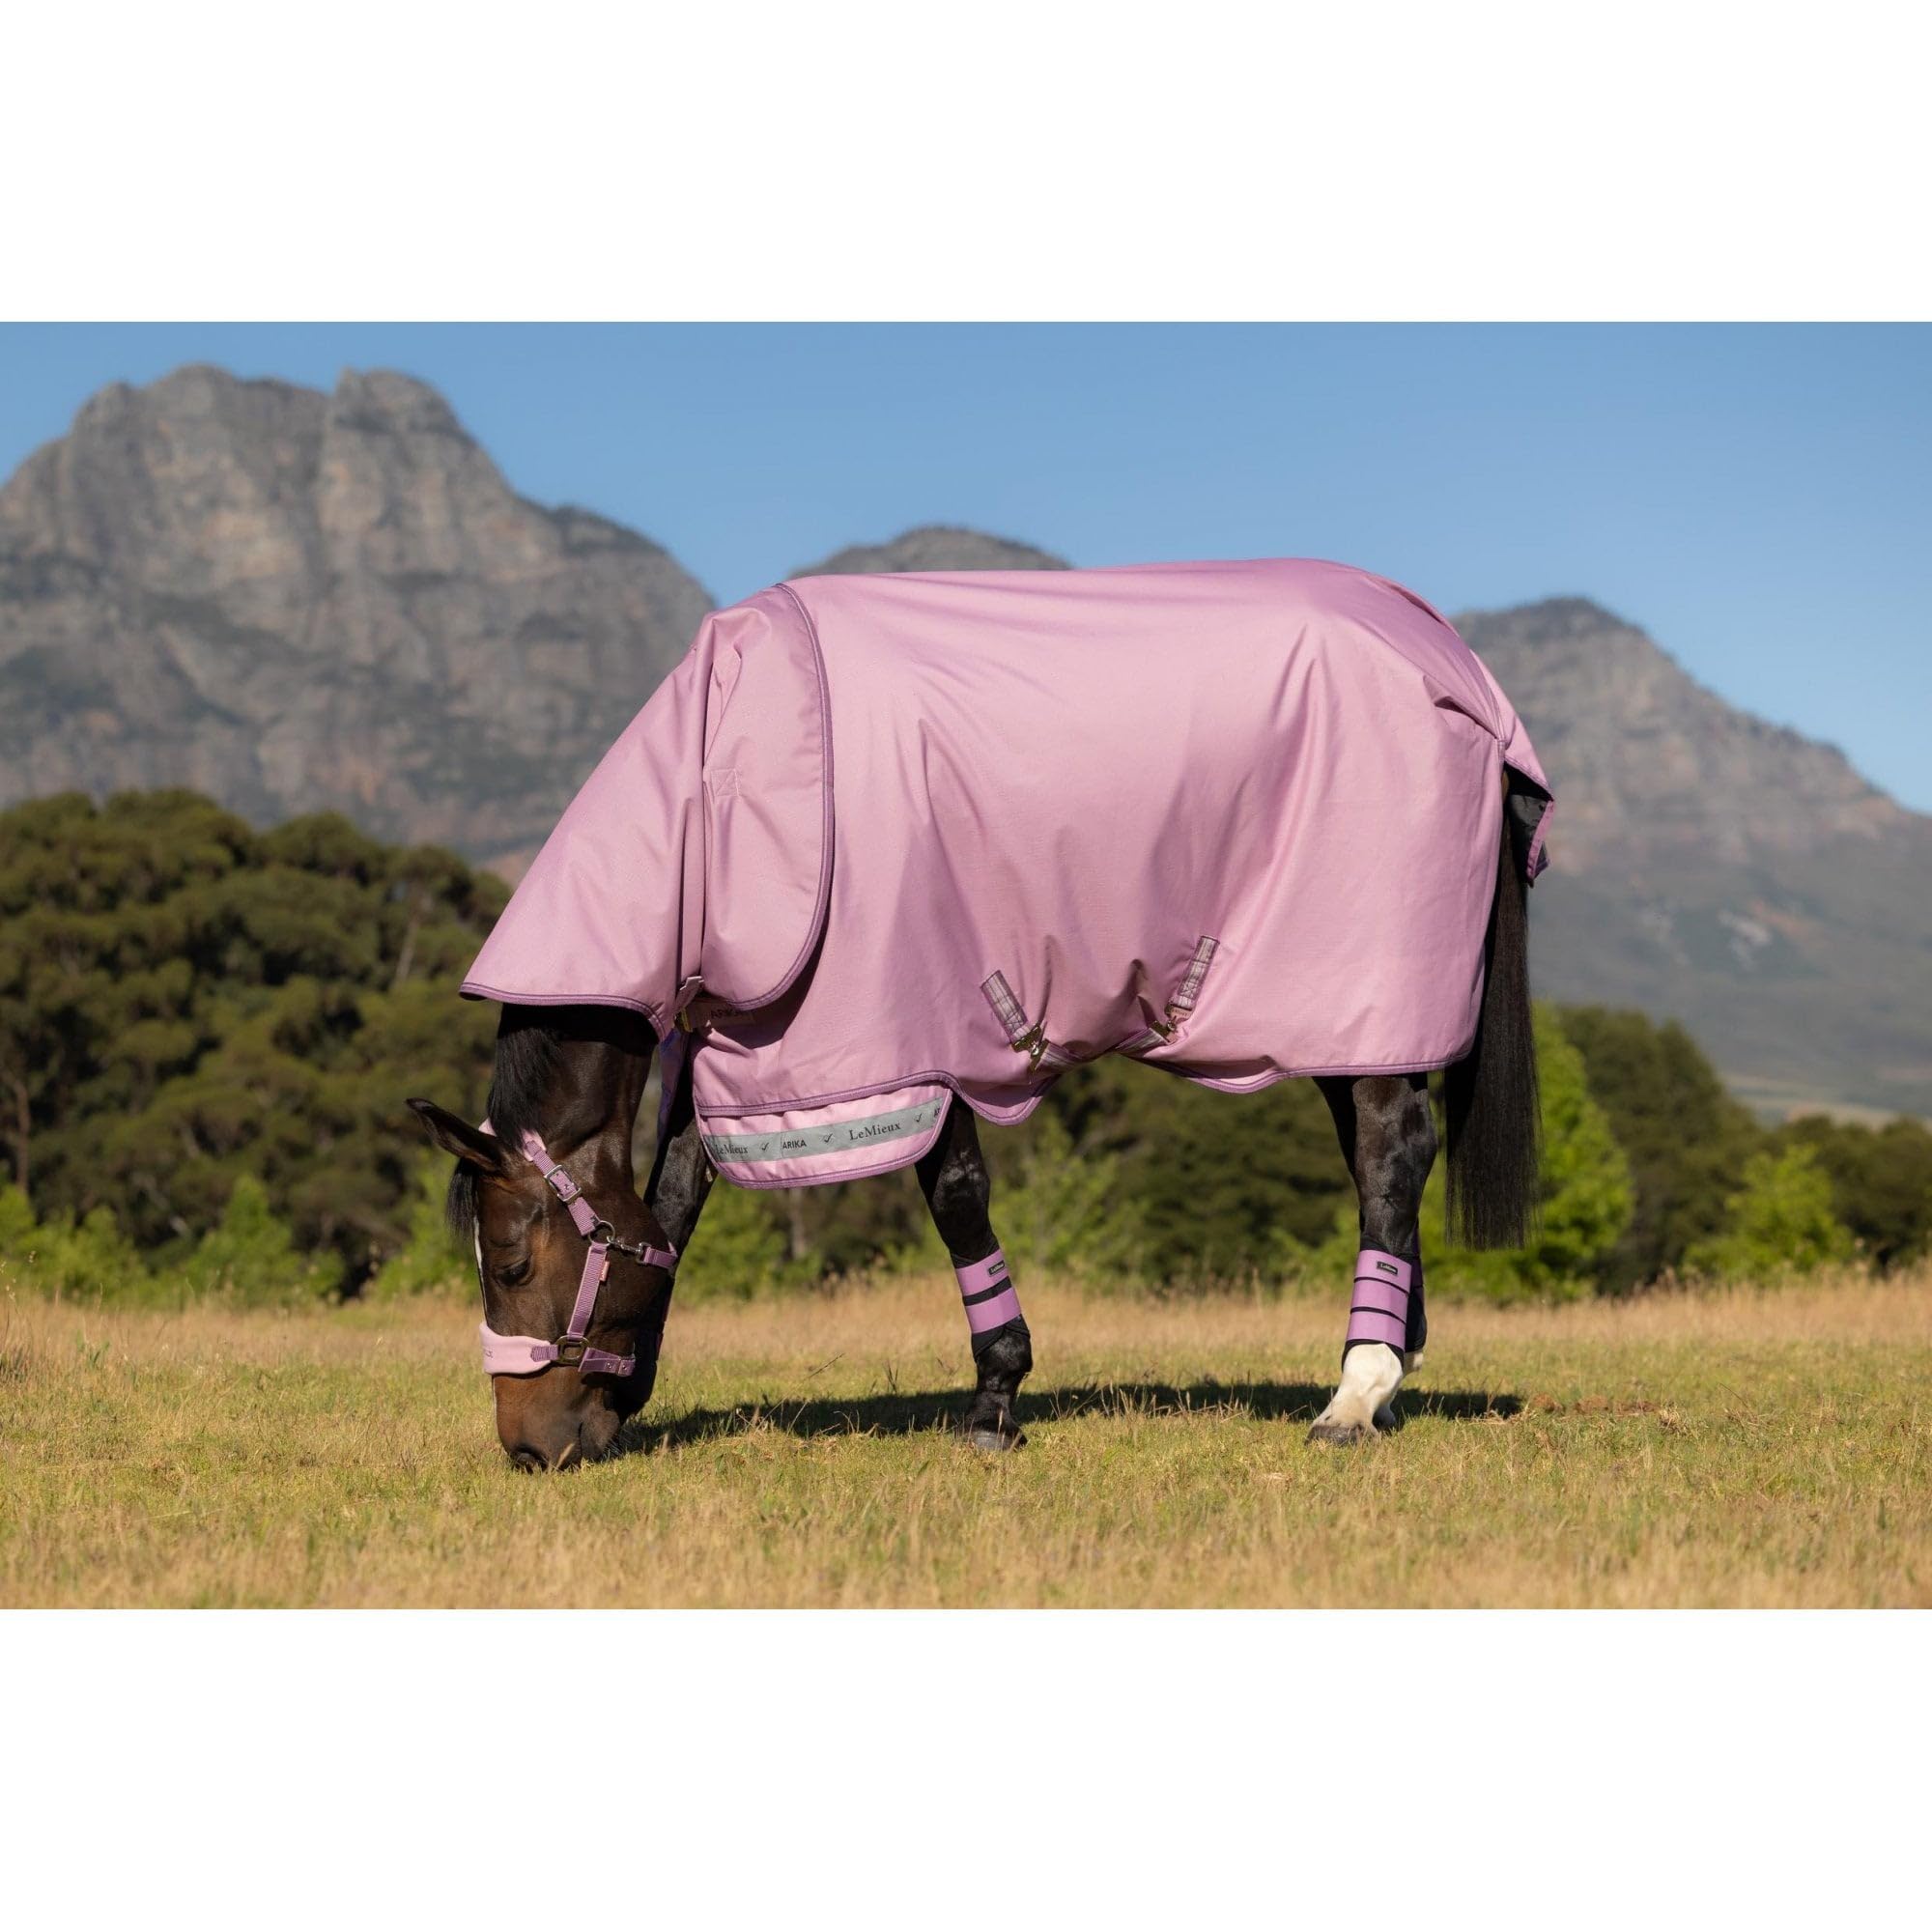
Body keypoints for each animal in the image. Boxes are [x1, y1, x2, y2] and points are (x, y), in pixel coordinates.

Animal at [409, 557, 1551, 1469]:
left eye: (510, 1261)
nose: (533, 1447)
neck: (729, 773)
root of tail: (1461, 674)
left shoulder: (908, 1042)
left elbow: (955, 1197)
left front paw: (996, 1399)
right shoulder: (738, 1050)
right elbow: (675, 1198)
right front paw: (632, 1389)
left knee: (1392, 1150)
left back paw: (1355, 1393)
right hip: (1347, 1024)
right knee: (1375, 1159)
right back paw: (1386, 1368)